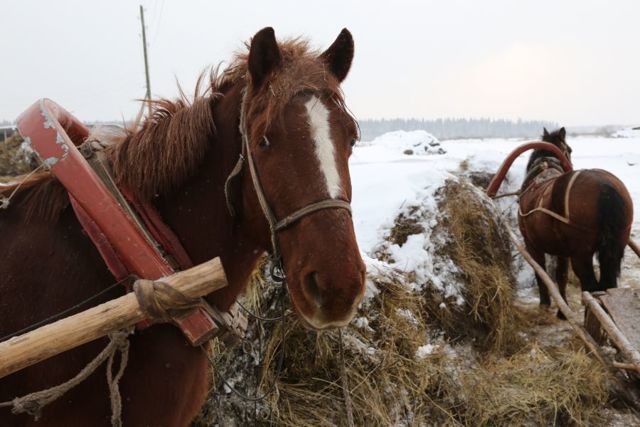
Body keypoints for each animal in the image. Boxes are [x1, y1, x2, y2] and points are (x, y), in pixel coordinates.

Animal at [520, 125, 636, 316]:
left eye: (570, 150)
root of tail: (604, 186)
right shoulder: (561, 250)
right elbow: (561, 275)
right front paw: (562, 311)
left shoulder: (532, 245)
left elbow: (540, 272)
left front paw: (545, 303)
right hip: (616, 246)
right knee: (607, 285)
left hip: (581, 254)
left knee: (592, 287)